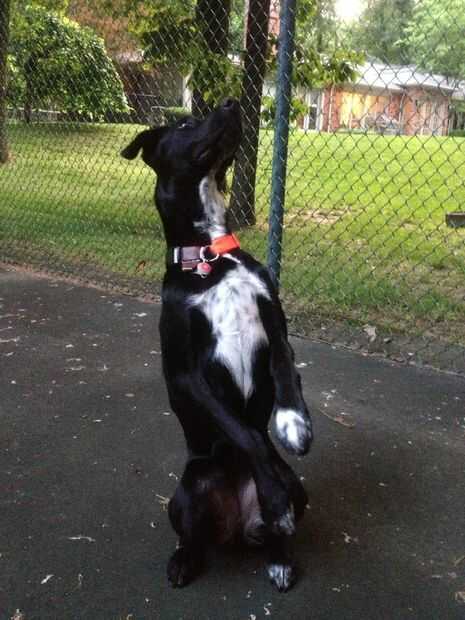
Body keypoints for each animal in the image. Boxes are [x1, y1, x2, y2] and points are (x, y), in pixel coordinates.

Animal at [121, 98, 313, 592]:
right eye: (186, 122)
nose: (232, 101)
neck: (210, 255)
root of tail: (235, 527)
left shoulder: (276, 330)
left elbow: (285, 377)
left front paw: (292, 425)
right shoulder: (189, 373)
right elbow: (246, 433)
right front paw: (273, 495)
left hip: (299, 486)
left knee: (277, 525)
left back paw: (279, 556)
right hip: (188, 489)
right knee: (192, 536)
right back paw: (186, 559)